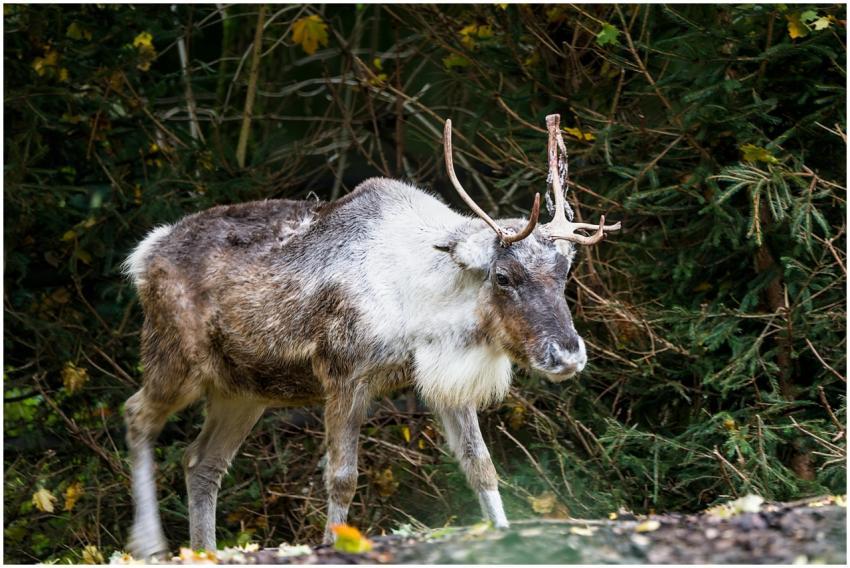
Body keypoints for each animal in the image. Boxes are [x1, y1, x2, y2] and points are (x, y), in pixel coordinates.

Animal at [122, 114, 620, 559]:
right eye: (502, 276)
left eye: (565, 271)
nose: (568, 354)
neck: (423, 306)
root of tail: (144, 253)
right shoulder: (344, 376)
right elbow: (342, 476)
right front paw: (331, 544)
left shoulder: (442, 381)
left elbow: (481, 466)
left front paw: (504, 533)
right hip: (175, 361)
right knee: (136, 415)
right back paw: (150, 544)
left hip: (244, 391)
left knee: (201, 461)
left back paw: (202, 550)